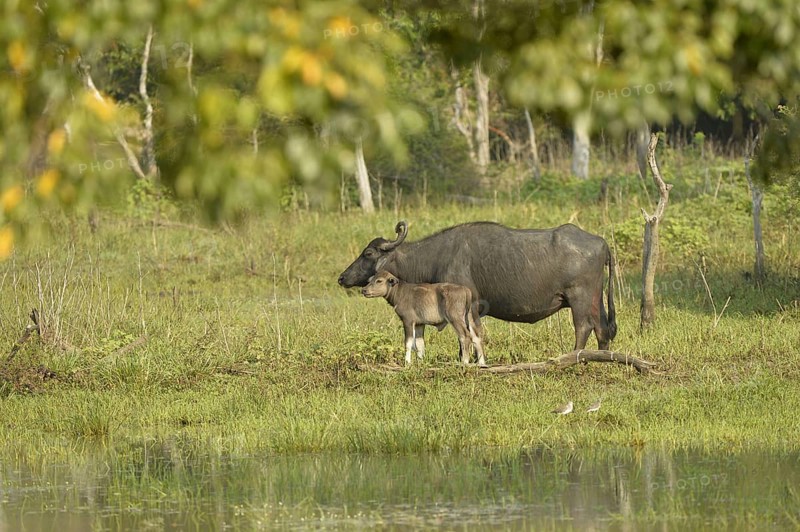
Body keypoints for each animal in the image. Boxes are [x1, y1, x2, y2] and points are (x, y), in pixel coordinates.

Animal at [338, 221, 616, 351]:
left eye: (368, 253)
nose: (342, 278)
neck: (435, 256)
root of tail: (601, 243)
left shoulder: (467, 306)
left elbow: (469, 337)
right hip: (595, 298)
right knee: (603, 330)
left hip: (579, 299)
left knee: (583, 328)